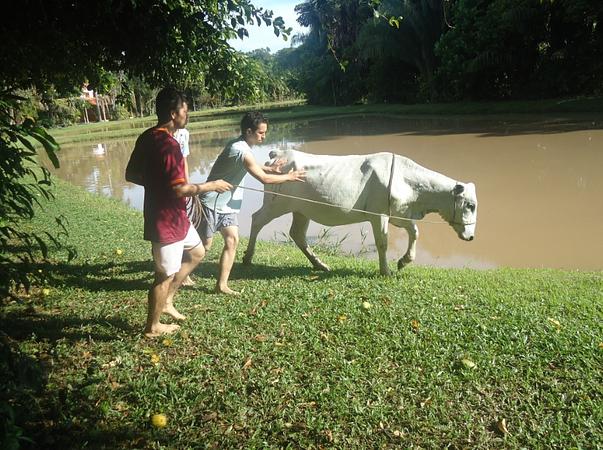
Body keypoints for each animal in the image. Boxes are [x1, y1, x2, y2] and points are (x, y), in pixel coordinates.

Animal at [243, 150, 478, 274]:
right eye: (470, 205)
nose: (471, 236)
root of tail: (280, 153)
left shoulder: (399, 214)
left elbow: (415, 232)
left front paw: (403, 261)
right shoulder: (378, 216)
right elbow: (382, 243)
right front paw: (386, 271)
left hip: (300, 210)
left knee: (297, 235)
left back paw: (320, 264)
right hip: (276, 204)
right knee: (256, 220)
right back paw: (247, 257)